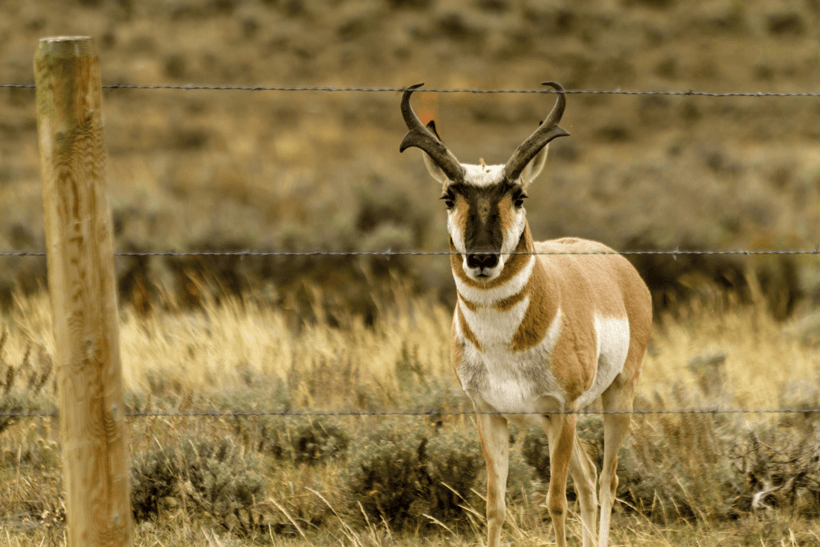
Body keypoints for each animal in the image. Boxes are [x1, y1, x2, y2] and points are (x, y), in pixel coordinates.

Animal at [399, 82, 652, 547]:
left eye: (519, 196)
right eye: (448, 197)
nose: (482, 258)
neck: (503, 346)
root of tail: (617, 264)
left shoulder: (561, 410)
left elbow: (554, 502)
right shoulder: (490, 415)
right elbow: (494, 505)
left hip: (617, 397)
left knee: (606, 480)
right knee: (588, 478)